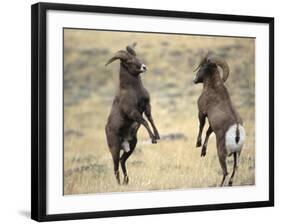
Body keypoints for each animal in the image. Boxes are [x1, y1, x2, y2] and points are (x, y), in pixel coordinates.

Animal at [104, 43, 159, 185]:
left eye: (136, 56)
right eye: (128, 61)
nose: (144, 67)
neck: (133, 90)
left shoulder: (146, 107)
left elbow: (150, 119)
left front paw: (157, 136)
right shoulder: (133, 112)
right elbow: (144, 121)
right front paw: (153, 139)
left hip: (132, 146)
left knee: (122, 161)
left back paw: (126, 181)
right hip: (115, 149)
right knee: (115, 166)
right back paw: (119, 184)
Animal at [194, 55, 244, 186]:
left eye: (201, 67)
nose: (194, 79)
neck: (213, 87)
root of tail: (237, 131)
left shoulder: (202, 113)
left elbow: (201, 127)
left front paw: (198, 144)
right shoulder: (212, 125)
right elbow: (207, 132)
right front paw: (203, 152)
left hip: (221, 153)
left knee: (225, 172)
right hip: (237, 154)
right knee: (235, 169)